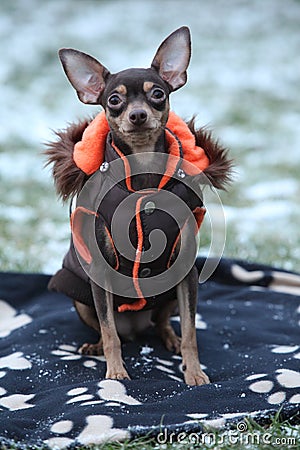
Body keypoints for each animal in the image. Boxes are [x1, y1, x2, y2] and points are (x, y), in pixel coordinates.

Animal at [46, 27, 232, 386]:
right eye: (114, 100)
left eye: (157, 94)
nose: (137, 114)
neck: (144, 171)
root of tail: (136, 326)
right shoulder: (100, 272)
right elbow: (109, 332)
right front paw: (115, 373)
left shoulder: (185, 270)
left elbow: (191, 331)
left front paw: (195, 372)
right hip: (80, 296)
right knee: (109, 328)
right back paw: (95, 346)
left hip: (170, 292)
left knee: (162, 322)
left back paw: (169, 339)